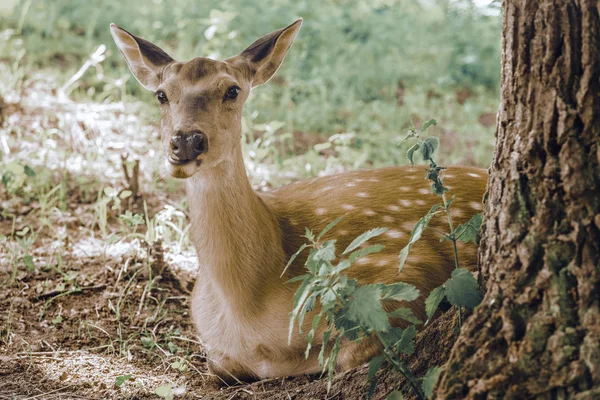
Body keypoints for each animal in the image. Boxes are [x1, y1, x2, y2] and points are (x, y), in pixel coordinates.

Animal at [111, 18, 488, 384]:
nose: (186, 141)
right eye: (162, 94)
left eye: (232, 90)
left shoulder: (401, 278)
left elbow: (347, 353)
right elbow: (220, 368)